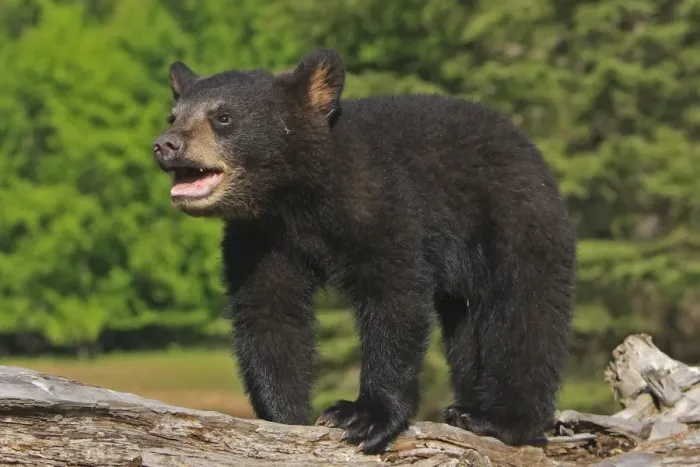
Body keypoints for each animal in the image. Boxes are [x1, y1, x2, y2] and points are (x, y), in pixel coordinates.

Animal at [152, 48, 576, 455]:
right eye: (173, 116)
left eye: (223, 117)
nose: (165, 144)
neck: (297, 199)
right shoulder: (260, 238)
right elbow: (268, 311)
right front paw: (285, 417)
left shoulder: (379, 200)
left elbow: (392, 295)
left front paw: (364, 416)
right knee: (467, 330)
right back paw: (468, 406)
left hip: (514, 221)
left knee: (525, 313)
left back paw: (501, 419)